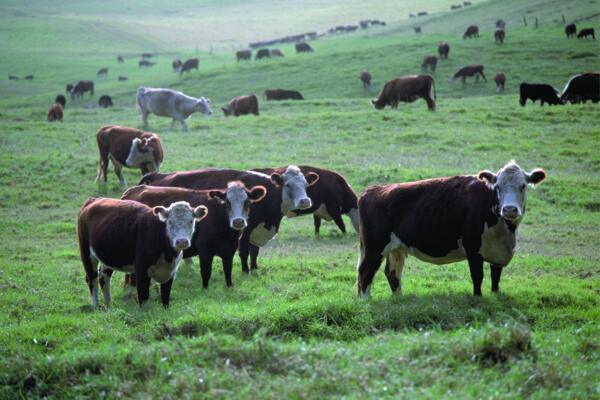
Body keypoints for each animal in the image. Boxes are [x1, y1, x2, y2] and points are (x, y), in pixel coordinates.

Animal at [77, 198, 209, 308]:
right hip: (86, 253)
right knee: (92, 279)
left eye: (191, 221)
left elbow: (165, 298)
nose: (181, 241)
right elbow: (143, 296)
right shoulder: (141, 270)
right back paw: (96, 307)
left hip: (108, 256)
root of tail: (93, 200)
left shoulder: (171, 273)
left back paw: (109, 306)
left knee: (103, 277)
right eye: (170, 222)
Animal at [122, 183, 268, 290]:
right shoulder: (205, 250)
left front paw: (229, 287)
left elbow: (228, 272)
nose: (238, 221)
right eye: (227, 202)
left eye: (247, 202)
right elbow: (206, 272)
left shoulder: (229, 250)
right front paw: (205, 290)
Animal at [139, 165, 318, 272]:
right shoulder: (245, 229)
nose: (305, 201)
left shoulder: (255, 232)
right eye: (288, 185)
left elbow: (255, 252)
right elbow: (245, 251)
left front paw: (254, 268)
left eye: (305, 185)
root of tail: (158, 175)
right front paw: (246, 271)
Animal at [356, 161, 548, 298]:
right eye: (498, 187)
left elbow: (495, 278)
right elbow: (477, 277)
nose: (509, 209)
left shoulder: (498, 252)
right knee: (365, 272)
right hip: (375, 247)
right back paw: (365, 301)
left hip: (396, 248)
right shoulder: (472, 248)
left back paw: (399, 299)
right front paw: (478, 298)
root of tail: (374, 189)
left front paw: (495, 295)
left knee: (392, 273)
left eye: (523, 185)